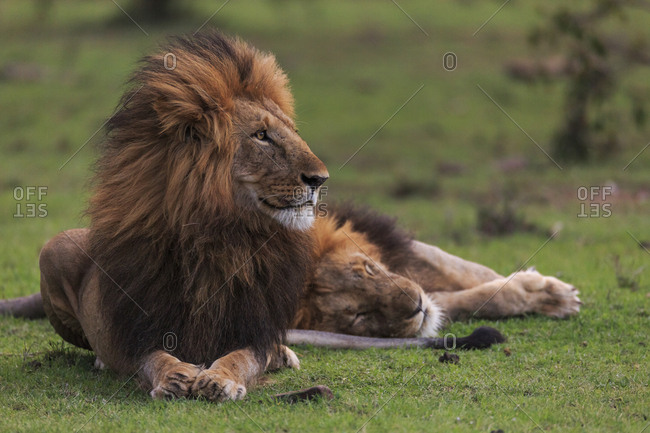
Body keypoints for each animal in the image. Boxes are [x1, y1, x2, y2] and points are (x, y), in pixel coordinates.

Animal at [13, 32, 329, 402]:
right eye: (261, 135)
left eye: (291, 131)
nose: (320, 179)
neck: (220, 236)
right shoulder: (140, 330)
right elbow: (154, 357)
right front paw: (174, 376)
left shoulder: (252, 327)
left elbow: (242, 357)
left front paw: (219, 378)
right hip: (54, 248)